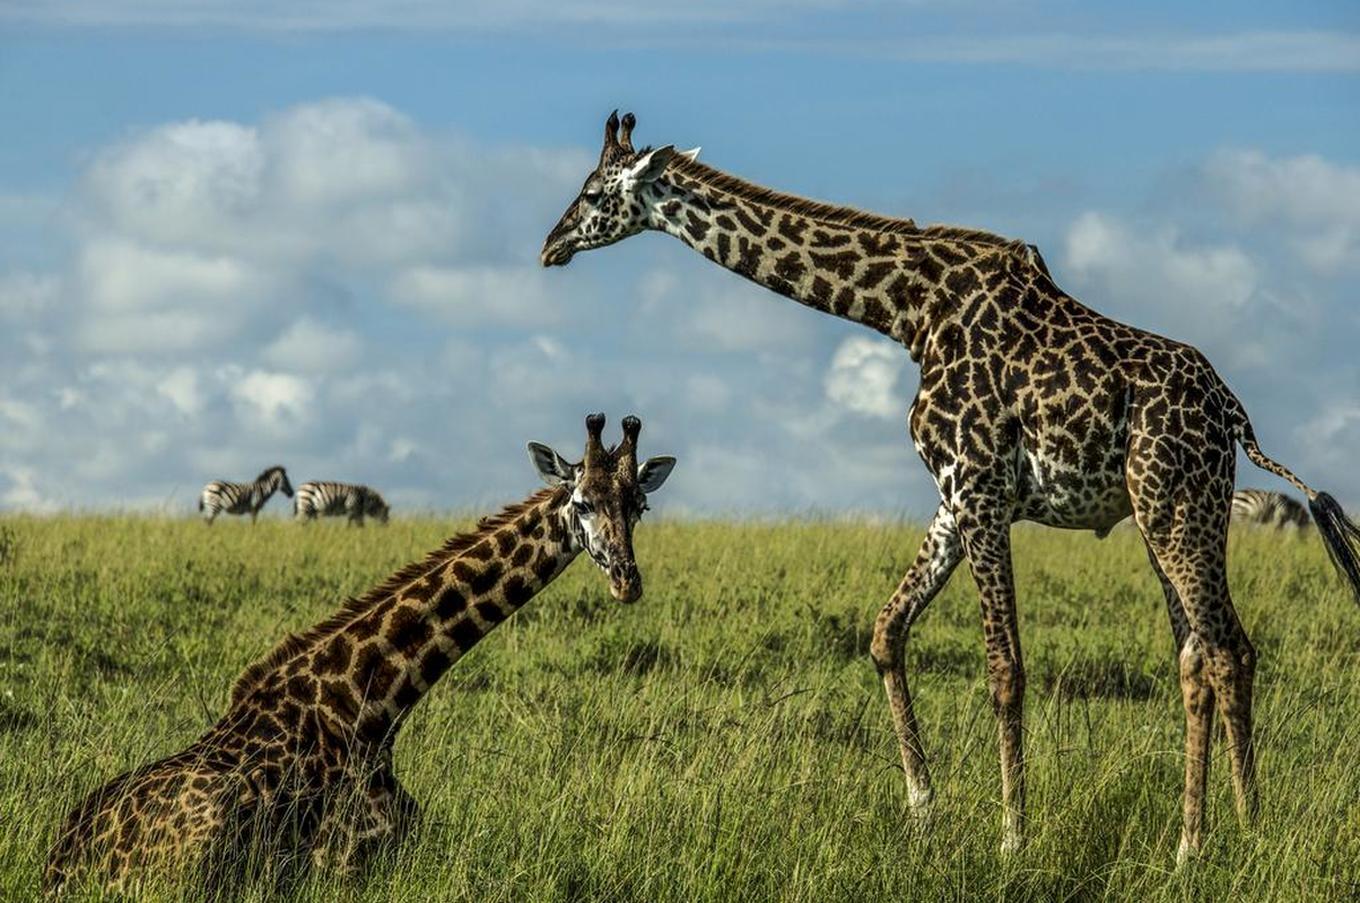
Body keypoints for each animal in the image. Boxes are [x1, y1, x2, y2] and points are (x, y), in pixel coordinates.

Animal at [45, 416, 677, 897]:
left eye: (640, 506)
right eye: (582, 502)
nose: (627, 581)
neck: (372, 706)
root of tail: (58, 864)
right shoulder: (343, 865)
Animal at [535, 112, 1354, 859]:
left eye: (592, 191)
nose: (550, 245)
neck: (909, 310)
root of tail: (1234, 415)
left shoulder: (982, 487)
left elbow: (1005, 666)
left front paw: (1013, 838)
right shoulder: (953, 495)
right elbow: (885, 631)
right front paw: (924, 807)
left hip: (1175, 505)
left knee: (1223, 650)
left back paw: (1226, 837)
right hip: (1174, 511)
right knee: (1206, 655)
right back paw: (1211, 836)